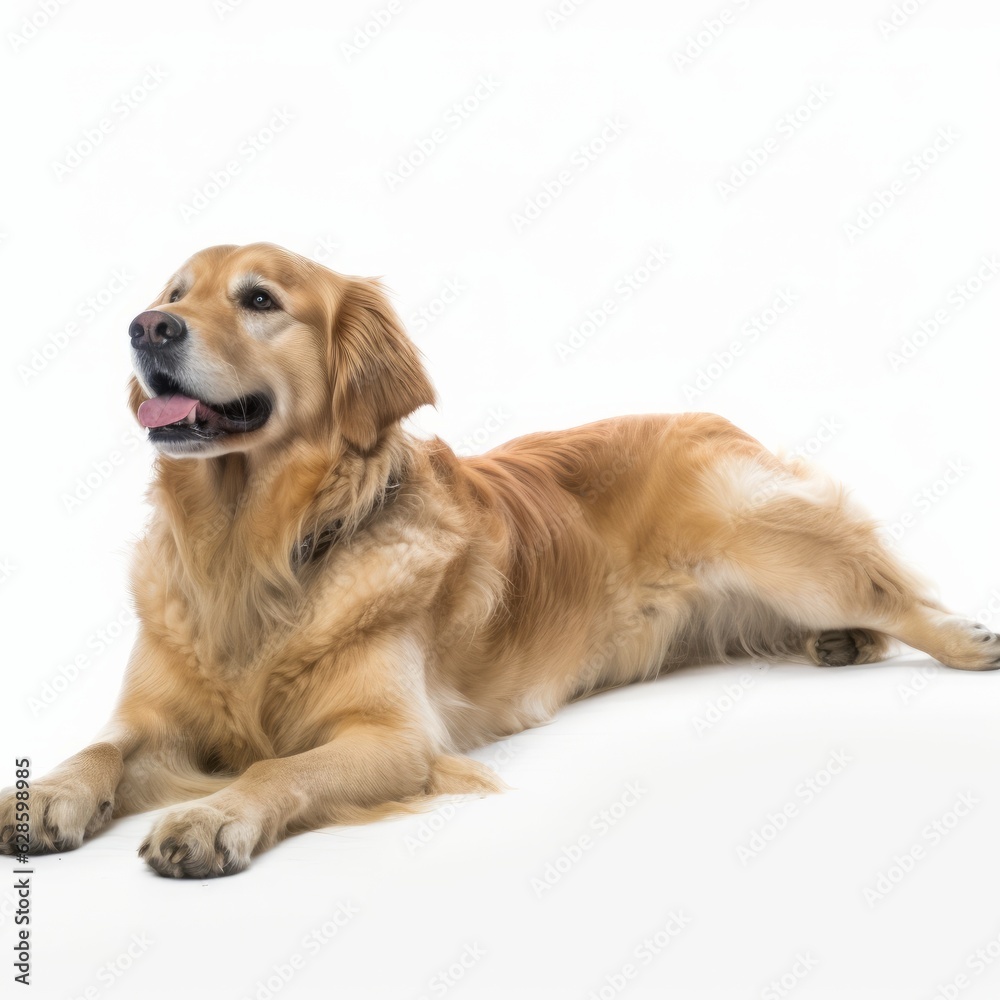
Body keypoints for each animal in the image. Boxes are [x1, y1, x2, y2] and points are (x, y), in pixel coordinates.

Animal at [3, 246, 996, 880]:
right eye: (175, 290)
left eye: (258, 300)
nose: (148, 327)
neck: (254, 551)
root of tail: (705, 412)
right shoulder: (158, 717)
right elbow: (103, 745)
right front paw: (47, 794)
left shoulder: (393, 739)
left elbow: (275, 770)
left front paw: (212, 816)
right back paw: (842, 646)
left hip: (780, 547)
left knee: (893, 591)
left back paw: (963, 639)